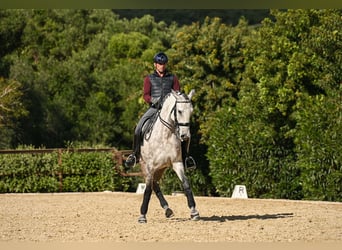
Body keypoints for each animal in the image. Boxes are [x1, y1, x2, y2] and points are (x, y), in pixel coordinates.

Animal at [137, 89, 199, 224]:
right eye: (179, 111)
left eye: (191, 111)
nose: (185, 135)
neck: (165, 135)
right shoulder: (149, 166)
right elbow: (147, 190)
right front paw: (142, 216)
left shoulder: (177, 163)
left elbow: (186, 184)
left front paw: (194, 211)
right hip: (145, 167)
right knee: (152, 185)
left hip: (160, 169)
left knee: (155, 184)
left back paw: (167, 209)